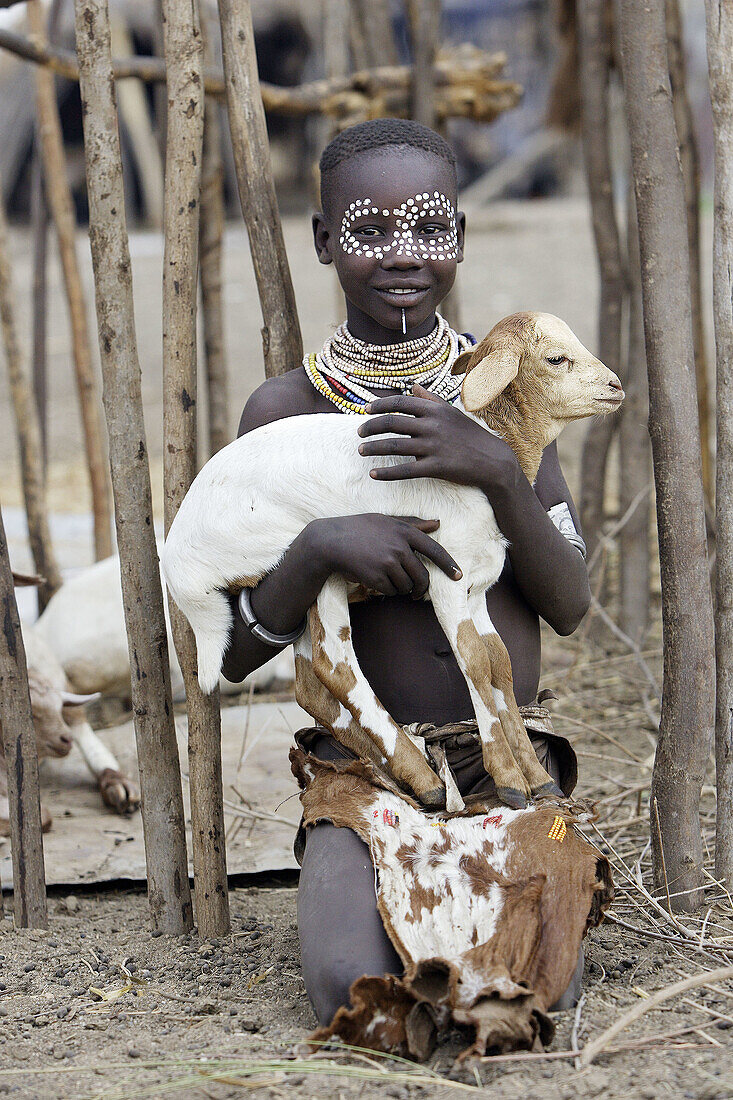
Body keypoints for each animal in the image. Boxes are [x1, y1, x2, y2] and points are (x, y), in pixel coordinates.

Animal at [161, 314, 620, 814]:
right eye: (556, 358)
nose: (616, 386)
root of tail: (180, 567)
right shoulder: (448, 577)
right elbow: (475, 662)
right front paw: (510, 780)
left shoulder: (478, 587)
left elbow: (499, 663)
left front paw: (539, 779)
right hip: (308, 558)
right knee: (335, 663)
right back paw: (423, 778)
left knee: (310, 684)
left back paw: (388, 771)